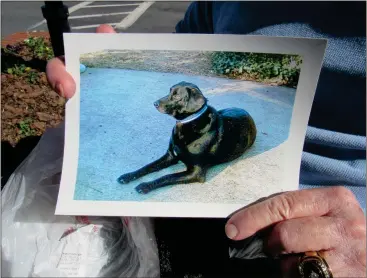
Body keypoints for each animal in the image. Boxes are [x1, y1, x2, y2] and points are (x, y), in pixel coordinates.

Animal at [117, 81, 256, 193]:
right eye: (169, 91)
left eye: (176, 95)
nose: (154, 103)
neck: (188, 123)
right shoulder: (170, 156)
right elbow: (147, 166)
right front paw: (127, 176)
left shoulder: (195, 172)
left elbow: (167, 177)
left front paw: (145, 185)